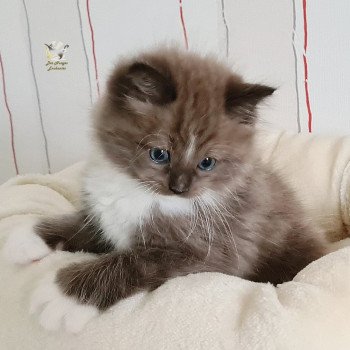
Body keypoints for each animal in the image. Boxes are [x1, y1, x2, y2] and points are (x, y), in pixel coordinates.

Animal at [2, 47, 326, 332]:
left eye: (207, 163)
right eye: (159, 154)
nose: (179, 188)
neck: (141, 194)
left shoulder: (212, 252)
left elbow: (134, 261)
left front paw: (63, 296)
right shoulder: (106, 218)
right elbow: (82, 224)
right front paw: (28, 236)